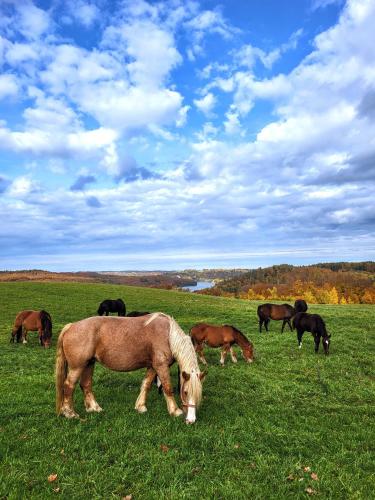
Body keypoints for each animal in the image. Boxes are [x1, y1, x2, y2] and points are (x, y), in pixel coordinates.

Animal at [55, 314, 206, 424]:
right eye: (185, 392)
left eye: (199, 394)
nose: (191, 420)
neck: (168, 335)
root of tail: (70, 326)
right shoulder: (161, 366)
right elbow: (168, 388)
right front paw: (175, 411)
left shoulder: (152, 366)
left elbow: (146, 385)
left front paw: (141, 407)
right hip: (77, 367)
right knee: (68, 386)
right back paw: (70, 413)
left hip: (89, 364)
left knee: (86, 385)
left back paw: (94, 408)